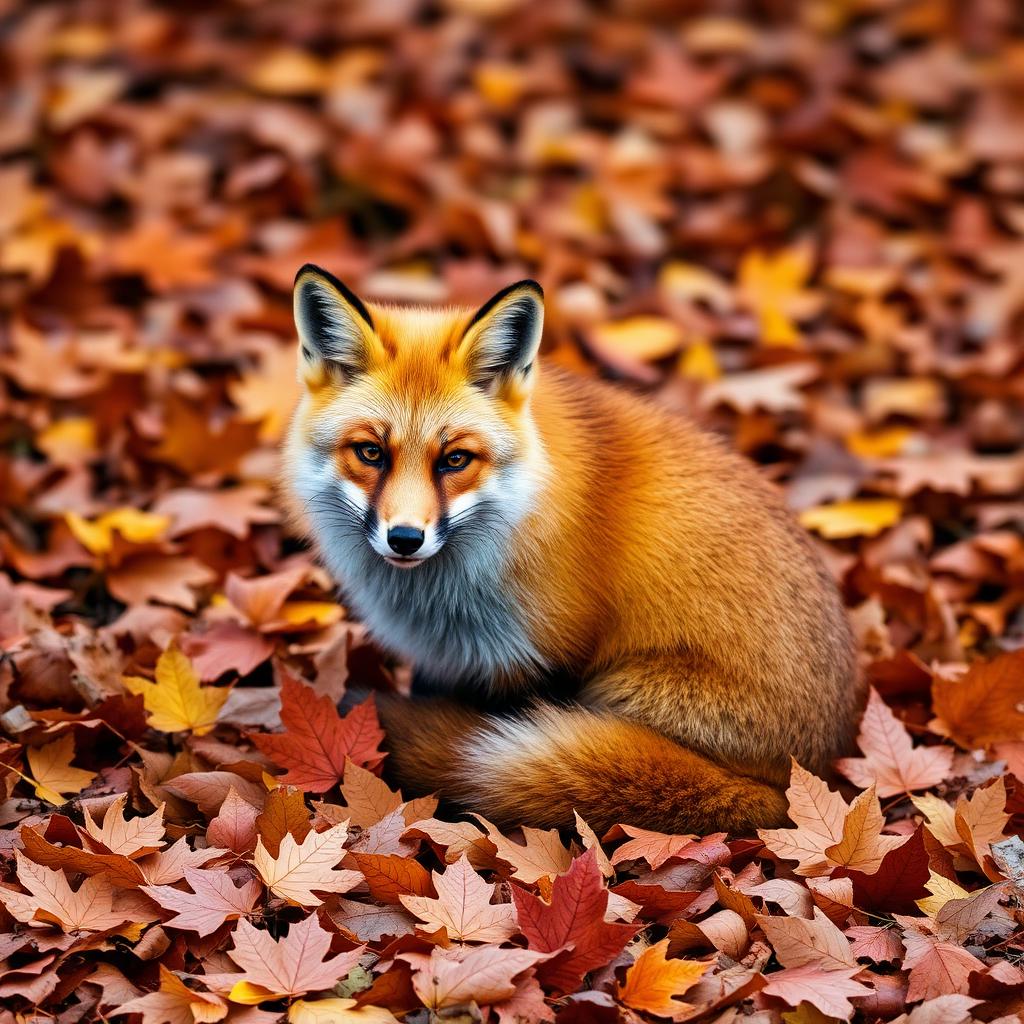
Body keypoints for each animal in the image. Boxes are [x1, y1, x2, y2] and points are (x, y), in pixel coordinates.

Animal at [281, 263, 862, 836]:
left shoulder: (542, 658)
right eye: (370, 453)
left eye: (455, 459)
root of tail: (793, 784)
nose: (405, 538)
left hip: (625, 693)